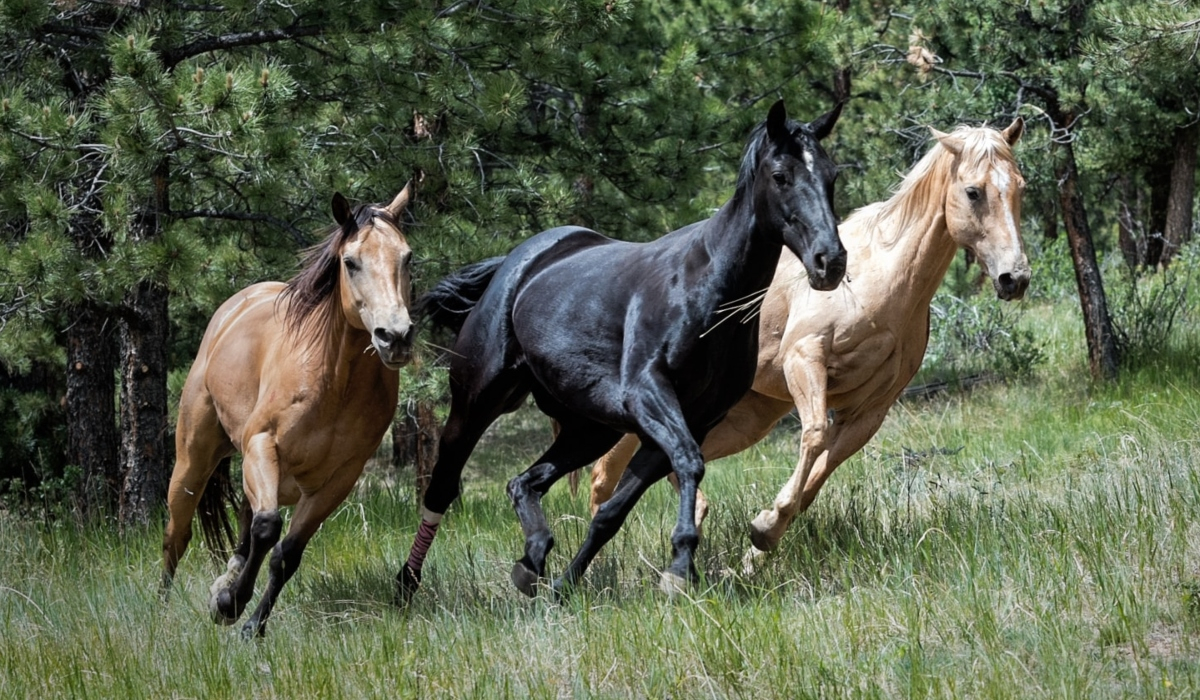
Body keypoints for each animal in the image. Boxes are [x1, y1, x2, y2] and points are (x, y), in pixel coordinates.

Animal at [159, 183, 415, 638]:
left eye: (407, 257)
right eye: (350, 262)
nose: (396, 336)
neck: (334, 381)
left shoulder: (339, 479)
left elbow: (287, 552)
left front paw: (250, 623)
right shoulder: (263, 445)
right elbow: (267, 528)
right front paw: (230, 603)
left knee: (245, 523)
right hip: (193, 461)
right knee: (177, 534)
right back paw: (161, 611)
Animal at [400, 98, 844, 600]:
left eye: (831, 175)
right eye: (781, 175)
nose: (830, 261)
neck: (707, 289)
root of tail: (516, 264)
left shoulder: (687, 419)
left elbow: (613, 512)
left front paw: (566, 585)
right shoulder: (649, 394)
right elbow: (689, 463)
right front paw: (679, 567)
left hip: (590, 429)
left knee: (523, 483)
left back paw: (533, 560)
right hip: (475, 402)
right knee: (442, 486)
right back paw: (407, 584)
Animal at [590, 120, 1032, 569]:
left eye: (1020, 186)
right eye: (973, 191)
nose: (1014, 278)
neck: (881, 278)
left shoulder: (870, 410)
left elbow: (820, 474)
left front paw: (759, 545)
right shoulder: (805, 361)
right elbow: (815, 435)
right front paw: (765, 528)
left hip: (746, 417)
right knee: (605, 472)